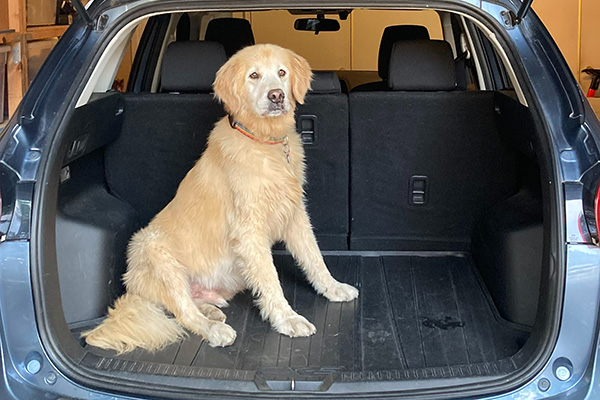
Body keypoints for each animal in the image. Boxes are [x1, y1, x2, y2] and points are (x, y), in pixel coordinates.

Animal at [82, 43, 358, 354]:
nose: (276, 96)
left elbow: (314, 258)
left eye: (282, 72)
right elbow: (271, 279)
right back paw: (213, 328)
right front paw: (288, 319)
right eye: (254, 75)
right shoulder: (249, 230)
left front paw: (333, 287)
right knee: (183, 312)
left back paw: (210, 311)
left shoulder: (295, 214)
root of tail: (134, 291)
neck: (265, 142)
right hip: (153, 250)